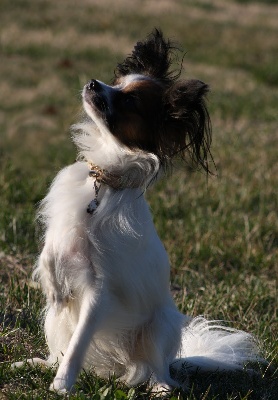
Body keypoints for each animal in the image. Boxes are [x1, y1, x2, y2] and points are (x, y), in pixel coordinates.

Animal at [14, 29, 264, 396]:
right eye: (117, 82)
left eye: (129, 102)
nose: (93, 83)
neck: (104, 181)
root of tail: (120, 366)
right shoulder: (60, 244)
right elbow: (50, 259)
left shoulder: (99, 292)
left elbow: (79, 344)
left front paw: (62, 385)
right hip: (53, 318)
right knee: (58, 347)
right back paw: (37, 363)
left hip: (161, 326)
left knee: (155, 366)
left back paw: (160, 387)